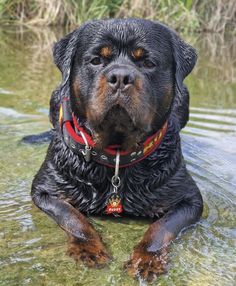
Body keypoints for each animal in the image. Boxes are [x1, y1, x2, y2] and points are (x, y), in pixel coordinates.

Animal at [31, 19, 203, 282]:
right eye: (96, 60)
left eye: (148, 63)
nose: (120, 76)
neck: (117, 155)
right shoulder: (46, 189)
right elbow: (74, 218)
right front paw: (88, 249)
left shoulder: (190, 200)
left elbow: (161, 228)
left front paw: (147, 258)